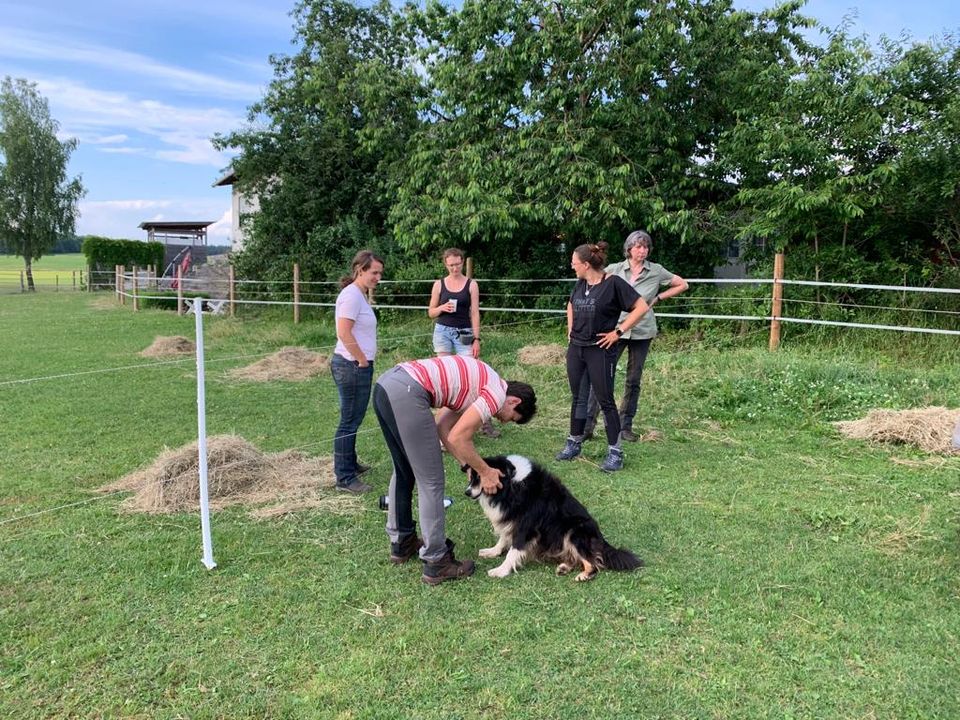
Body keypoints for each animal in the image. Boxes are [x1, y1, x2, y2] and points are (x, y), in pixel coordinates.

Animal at [464, 458, 640, 584]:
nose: (467, 492)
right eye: (471, 477)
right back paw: (564, 567)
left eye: (479, 478)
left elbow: (513, 551)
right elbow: (503, 539)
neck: (513, 483)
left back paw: (584, 575)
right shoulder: (511, 520)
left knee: (594, 562)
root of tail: (601, 539)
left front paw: (500, 571)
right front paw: (492, 551)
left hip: (574, 531)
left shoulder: (526, 527)